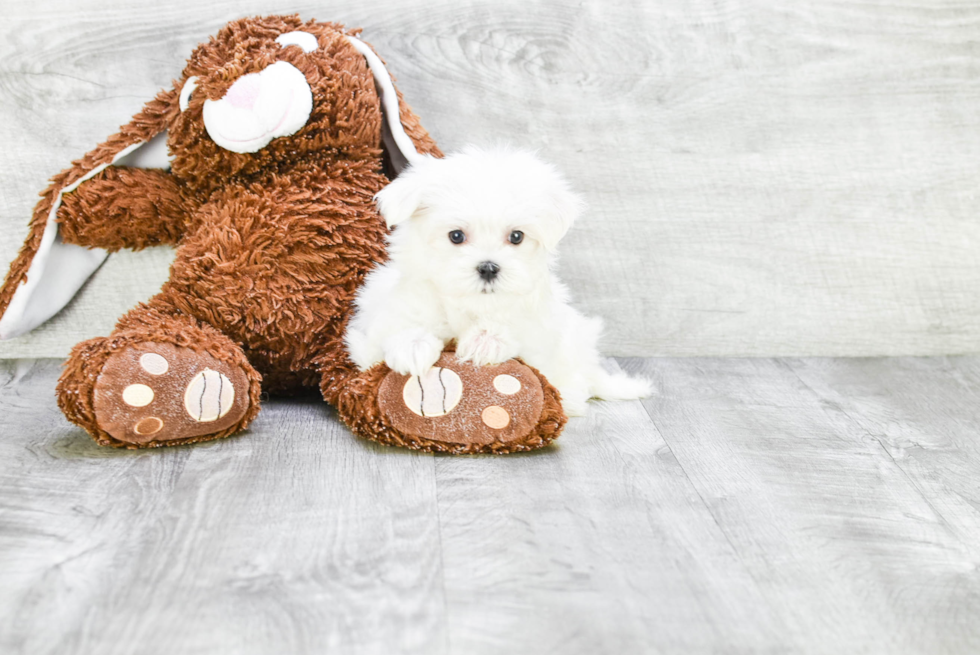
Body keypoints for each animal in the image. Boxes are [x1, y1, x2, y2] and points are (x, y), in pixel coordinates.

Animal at [344, 147, 652, 418]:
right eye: (456, 236)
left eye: (516, 236)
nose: (489, 268)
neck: (471, 305)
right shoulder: (391, 310)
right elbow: (400, 325)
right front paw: (413, 346)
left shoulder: (541, 327)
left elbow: (517, 326)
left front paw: (485, 341)